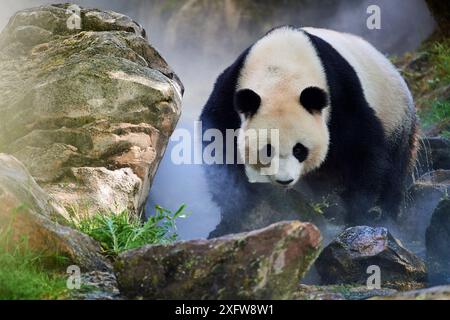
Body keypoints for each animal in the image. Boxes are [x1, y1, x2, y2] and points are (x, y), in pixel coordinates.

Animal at [200, 26, 418, 238]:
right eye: (267, 150)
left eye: (299, 149)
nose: (285, 180)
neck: (280, 73)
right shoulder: (231, 90)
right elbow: (218, 148)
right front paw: (234, 217)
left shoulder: (341, 97)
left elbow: (362, 150)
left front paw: (358, 216)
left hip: (396, 117)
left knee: (393, 171)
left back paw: (385, 214)